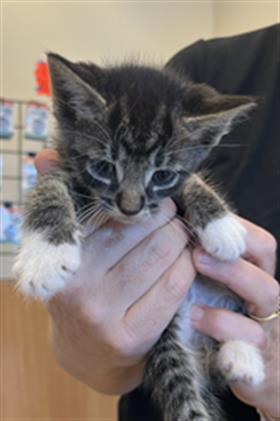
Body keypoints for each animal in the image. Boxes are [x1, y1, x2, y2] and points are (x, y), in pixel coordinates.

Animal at [13, 54, 264, 420]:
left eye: (162, 175)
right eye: (104, 167)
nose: (130, 208)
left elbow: (191, 180)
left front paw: (221, 224)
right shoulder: (64, 164)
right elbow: (48, 187)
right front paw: (46, 256)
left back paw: (242, 354)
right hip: (164, 336)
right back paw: (238, 358)